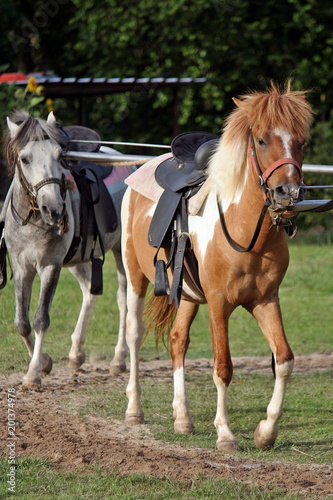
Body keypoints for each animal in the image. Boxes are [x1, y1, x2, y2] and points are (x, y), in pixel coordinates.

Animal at [121, 82, 312, 450]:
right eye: (262, 140)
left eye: (302, 141)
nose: (288, 193)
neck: (246, 232)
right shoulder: (219, 304)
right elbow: (223, 367)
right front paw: (225, 433)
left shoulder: (266, 301)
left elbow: (284, 360)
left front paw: (266, 431)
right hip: (135, 277)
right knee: (134, 335)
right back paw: (134, 410)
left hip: (187, 294)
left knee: (177, 340)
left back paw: (182, 418)